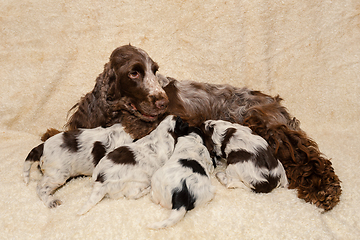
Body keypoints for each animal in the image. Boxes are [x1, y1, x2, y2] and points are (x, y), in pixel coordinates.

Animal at [44, 44, 340, 211]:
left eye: (155, 70)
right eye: (134, 72)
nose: (162, 100)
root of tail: (274, 101)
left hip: (267, 126)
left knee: (306, 156)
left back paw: (325, 189)